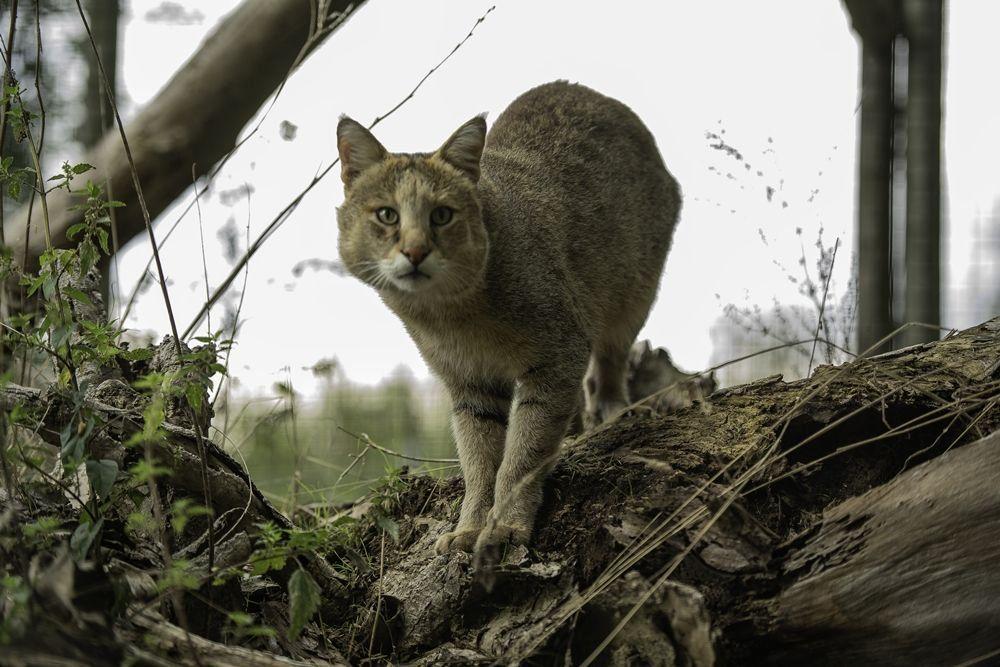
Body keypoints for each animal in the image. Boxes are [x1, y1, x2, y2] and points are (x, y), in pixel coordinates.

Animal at [336, 81, 680, 556]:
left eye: (441, 214)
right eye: (387, 214)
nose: (416, 251)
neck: (452, 316)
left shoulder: (559, 355)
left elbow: (523, 452)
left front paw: (506, 523)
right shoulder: (470, 386)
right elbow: (480, 462)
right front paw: (469, 526)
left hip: (632, 294)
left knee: (610, 359)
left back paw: (611, 408)